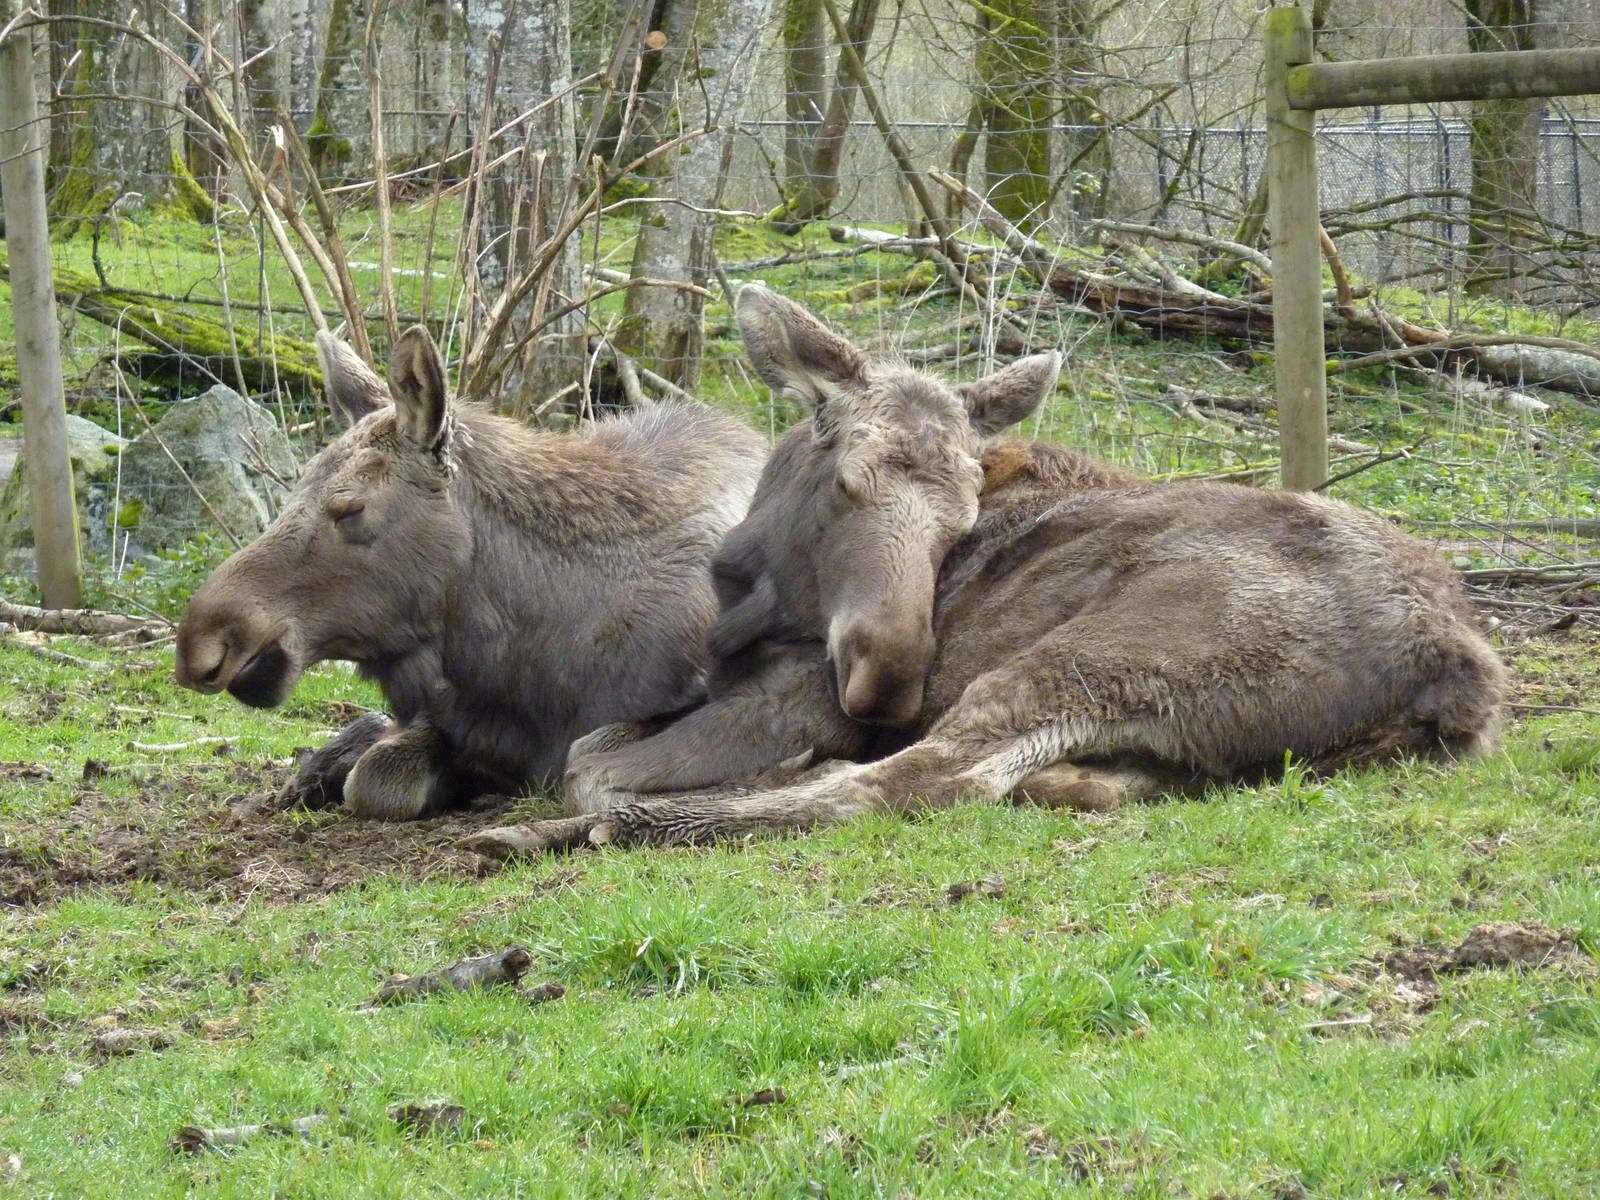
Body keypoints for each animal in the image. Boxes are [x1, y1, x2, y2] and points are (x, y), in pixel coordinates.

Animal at [460, 285, 1506, 857]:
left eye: (960, 521)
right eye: (847, 479)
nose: (885, 680)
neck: (748, 592)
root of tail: (1454, 659)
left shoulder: (786, 701)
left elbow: (589, 763)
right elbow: (596, 745)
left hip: (1090, 657)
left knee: (918, 781)